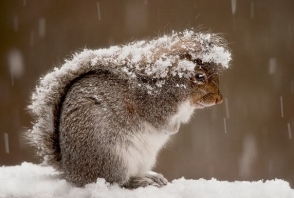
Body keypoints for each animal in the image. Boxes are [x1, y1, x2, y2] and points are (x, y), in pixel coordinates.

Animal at [26, 30, 231, 188]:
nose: (219, 99)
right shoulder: (154, 106)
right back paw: (139, 182)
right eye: (199, 76)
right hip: (113, 157)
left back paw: (150, 176)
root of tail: (72, 171)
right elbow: (161, 122)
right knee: (118, 181)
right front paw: (172, 129)